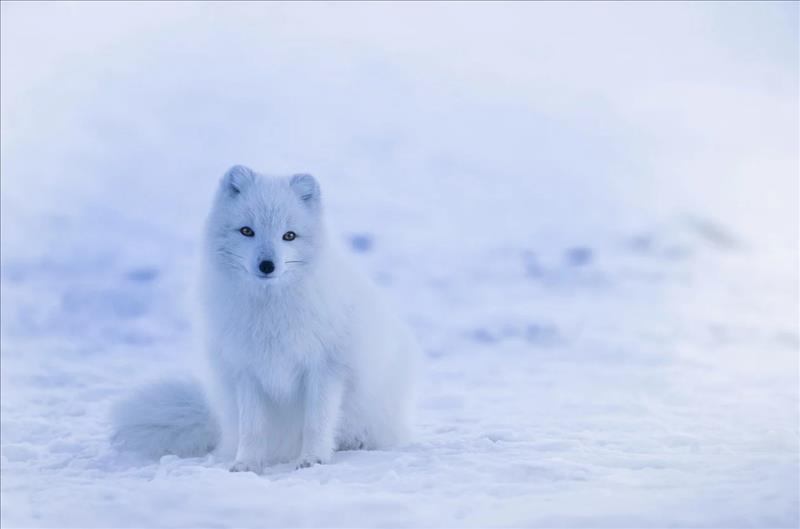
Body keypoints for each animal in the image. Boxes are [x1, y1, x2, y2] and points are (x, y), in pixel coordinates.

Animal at [111, 165, 418, 470]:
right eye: (247, 231)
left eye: (289, 236)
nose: (267, 265)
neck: (270, 311)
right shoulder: (246, 370)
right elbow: (253, 428)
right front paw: (246, 464)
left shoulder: (326, 367)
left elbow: (317, 422)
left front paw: (313, 458)